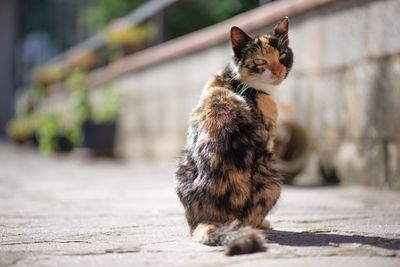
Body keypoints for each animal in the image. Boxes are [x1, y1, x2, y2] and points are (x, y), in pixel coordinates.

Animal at [177, 17, 292, 258]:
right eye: (259, 61)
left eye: (283, 56)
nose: (278, 72)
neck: (234, 81)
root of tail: (211, 219)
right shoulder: (268, 138)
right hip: (272, 174)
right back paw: (263, 223)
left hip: (182, 165)